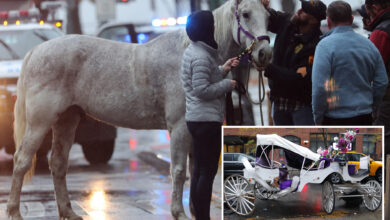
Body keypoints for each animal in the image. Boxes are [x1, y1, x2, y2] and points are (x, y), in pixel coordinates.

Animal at [6, 0, 272, 219]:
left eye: (268, 16)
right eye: (246, 14)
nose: (264, 54)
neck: (189, 52)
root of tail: (36, 51)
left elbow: (196, 171)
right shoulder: (178, 128)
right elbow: (179, 171)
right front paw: (179, 213)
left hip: (66, 120)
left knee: (58, 164)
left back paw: (68, 212)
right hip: (40, 122)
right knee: (21, 161)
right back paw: (14, 212)